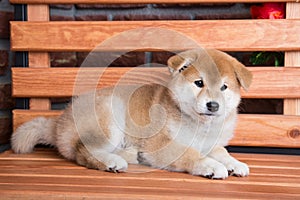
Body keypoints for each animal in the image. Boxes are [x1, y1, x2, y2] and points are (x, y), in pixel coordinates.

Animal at [11, 48, 252, 180]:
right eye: (199, 83)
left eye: (224, 87)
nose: (213, 105)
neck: (201, 126)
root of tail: (59, 120)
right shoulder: (163, 145)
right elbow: (191, 155)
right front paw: (211, 166)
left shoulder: (212, 144)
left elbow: (222, 152)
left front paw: (234, 163)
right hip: (111, 113)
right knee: (83, 150)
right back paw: (111, 162)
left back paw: (130, 155)